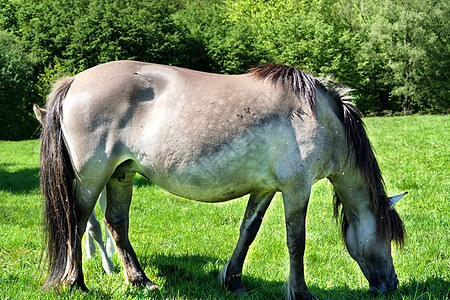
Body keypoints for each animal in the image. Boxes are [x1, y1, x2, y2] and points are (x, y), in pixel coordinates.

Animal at [35, 59, 406, 298]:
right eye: (388, 236)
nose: (392, 285)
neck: (319, 116)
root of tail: (74, 82)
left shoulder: (264, 189)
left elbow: (248, 232)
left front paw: (233, 281)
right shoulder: (296, 188)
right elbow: (296, 242)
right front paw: (300, 292)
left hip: (121, 174)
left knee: (115, 223)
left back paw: (140, 281)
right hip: (91, 177)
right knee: (77, 221)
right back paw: (75, 283)